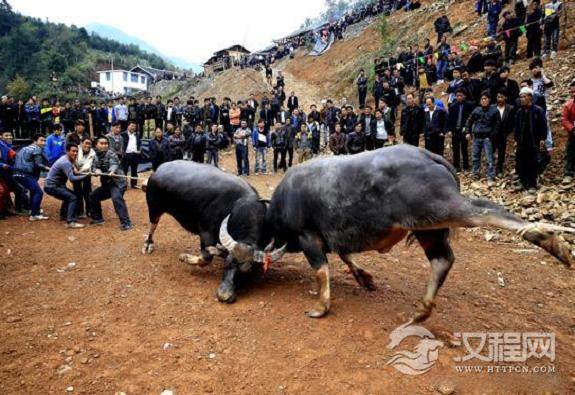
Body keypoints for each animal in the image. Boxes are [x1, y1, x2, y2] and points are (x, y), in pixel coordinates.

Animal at [142, 161, 286, 304]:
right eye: (227, 263)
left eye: (247, 270)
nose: (223, 296)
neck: (238, 206)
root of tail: (158, 169)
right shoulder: (206, 232)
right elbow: (205, 258)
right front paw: (184, 257)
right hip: (154, 208)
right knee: (153, 226)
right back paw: (148, 244)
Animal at [266, 145, 575, 322]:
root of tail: (431, 155)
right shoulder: (334, 238)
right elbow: (345, 256)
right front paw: (365, 279)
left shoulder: (309, 237)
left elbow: (321, 271)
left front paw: (321, 307)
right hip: (428, 228)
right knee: (442, 260)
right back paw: (423, 309)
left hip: (440, 209)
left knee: (487, 210)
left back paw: (547, 239)